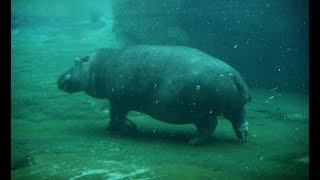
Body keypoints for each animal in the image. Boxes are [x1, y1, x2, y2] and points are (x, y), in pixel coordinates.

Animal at [58, 45, 252, 145]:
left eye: (75, 62)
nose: (59, 78)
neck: (98, 65)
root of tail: (233, 76)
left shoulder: (118, 100)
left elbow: (117, 116)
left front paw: (130, 127)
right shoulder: (117, 101)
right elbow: (115, 117)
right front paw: (113, 127)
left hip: (198, 111)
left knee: (210, 125)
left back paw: (193, 141)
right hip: (231, 107)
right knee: (239, 119)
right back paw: (243, 136)